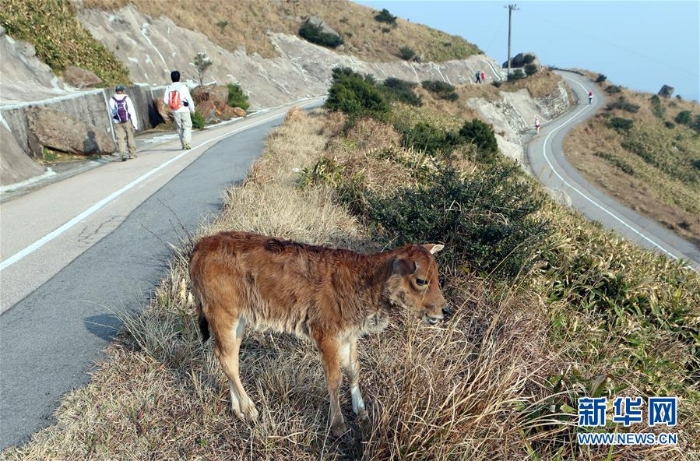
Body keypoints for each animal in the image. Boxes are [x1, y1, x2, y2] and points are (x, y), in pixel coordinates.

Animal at [189, 230, 448, 434]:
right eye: (421, 280)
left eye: (437, 278)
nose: (445, 309)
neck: (365, 280)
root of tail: (201, 246)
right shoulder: (327, 336)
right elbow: (334, 378)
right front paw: (338, 425)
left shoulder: (349, 336)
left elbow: (354, 371)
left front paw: (362, 411)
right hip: (223, 315)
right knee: (227, 360)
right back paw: (250, 410)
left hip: (240, 321)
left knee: (229, 358)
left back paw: (238, 410)